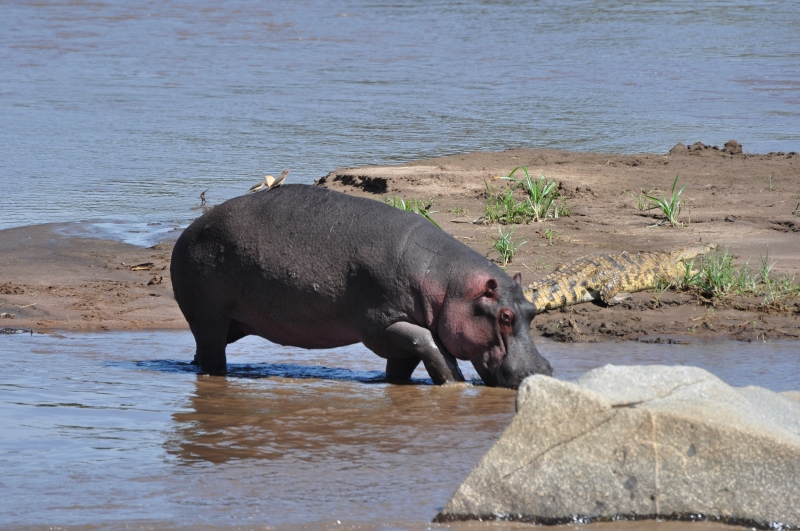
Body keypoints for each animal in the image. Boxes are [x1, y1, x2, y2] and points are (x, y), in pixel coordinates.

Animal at [170, 184, 552, 388]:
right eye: (504, 317)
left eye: (532, 310)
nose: (542, 370)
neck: (449, 287)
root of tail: (189, 230)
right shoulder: (382, 324)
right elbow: (431, 344)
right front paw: (455, 385)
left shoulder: (401, 340)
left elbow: (408, 361)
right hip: (208, 318)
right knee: (212, 357)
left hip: (232, 324)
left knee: (202, 352)